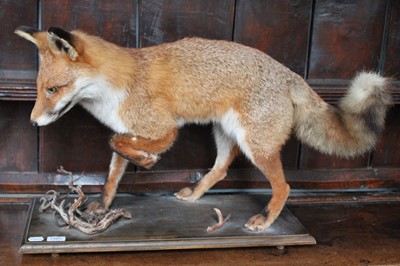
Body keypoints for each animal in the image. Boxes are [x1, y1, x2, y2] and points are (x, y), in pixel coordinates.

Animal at [14, 26, 390, 232]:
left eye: (53, 90)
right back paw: (195, 194)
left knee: (283, 187)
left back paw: (265, 220)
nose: (32, 122)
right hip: (224, 133)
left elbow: (116, 141)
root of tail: (289, 74)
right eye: (39, 89)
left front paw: (147, 161)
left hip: (257, 146)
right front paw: (103, 207)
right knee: (221, 169)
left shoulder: (165, 128)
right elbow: (112, 173)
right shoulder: (131, 126)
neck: (115, 89)